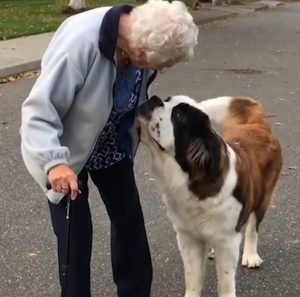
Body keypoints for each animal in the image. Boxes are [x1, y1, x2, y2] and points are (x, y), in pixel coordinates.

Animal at [137, 95, 282, 296]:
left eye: (178, 115)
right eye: (167, 100)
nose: (154, 98)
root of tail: (257, 126)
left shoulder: (228, 242)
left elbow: (225, 282)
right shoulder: (187, 237)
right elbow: (193, 276)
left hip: (263, 198)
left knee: (253, 227)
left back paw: (251, 256)